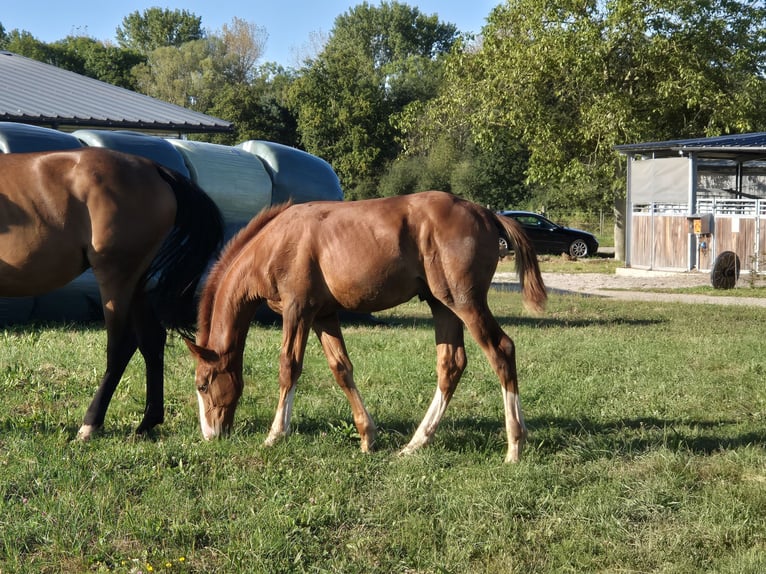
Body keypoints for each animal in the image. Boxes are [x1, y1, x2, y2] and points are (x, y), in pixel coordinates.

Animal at [1, 148, 225, 440]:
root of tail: (154, 168)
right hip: (136, 282)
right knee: (152, 340)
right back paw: (147, 422)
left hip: (115, 278)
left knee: (120, 348)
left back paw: (90, 424)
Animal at [186, 192, 544, 464]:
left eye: (203, 385)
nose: (211, 435)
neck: (275, 243)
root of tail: (486, 213)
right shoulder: (324, 317)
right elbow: (341, 369)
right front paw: (367, 436)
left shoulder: (298, 310)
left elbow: (289, 367)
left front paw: (275, 434)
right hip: (442, 305)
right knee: (451, 364)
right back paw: (416, 442)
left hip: (464, 302)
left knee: (501, 350)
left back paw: (514, 445)